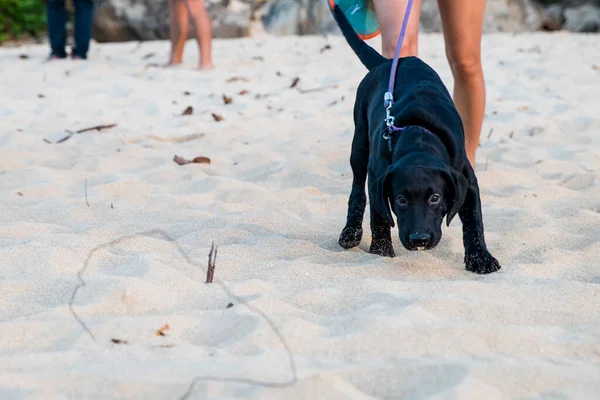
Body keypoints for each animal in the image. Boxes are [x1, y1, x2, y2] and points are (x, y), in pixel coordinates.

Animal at [332, 6, 502, 274]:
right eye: (401, 199)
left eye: (435, 198)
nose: (419, 239)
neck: (418, 138)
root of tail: (388, 62)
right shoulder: (377, 176)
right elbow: (379, 218)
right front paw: (382, 253)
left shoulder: (467, 179)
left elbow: (474, 220)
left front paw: (480, 258)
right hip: (359, 144)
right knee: (357, 189)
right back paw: (351, 231)